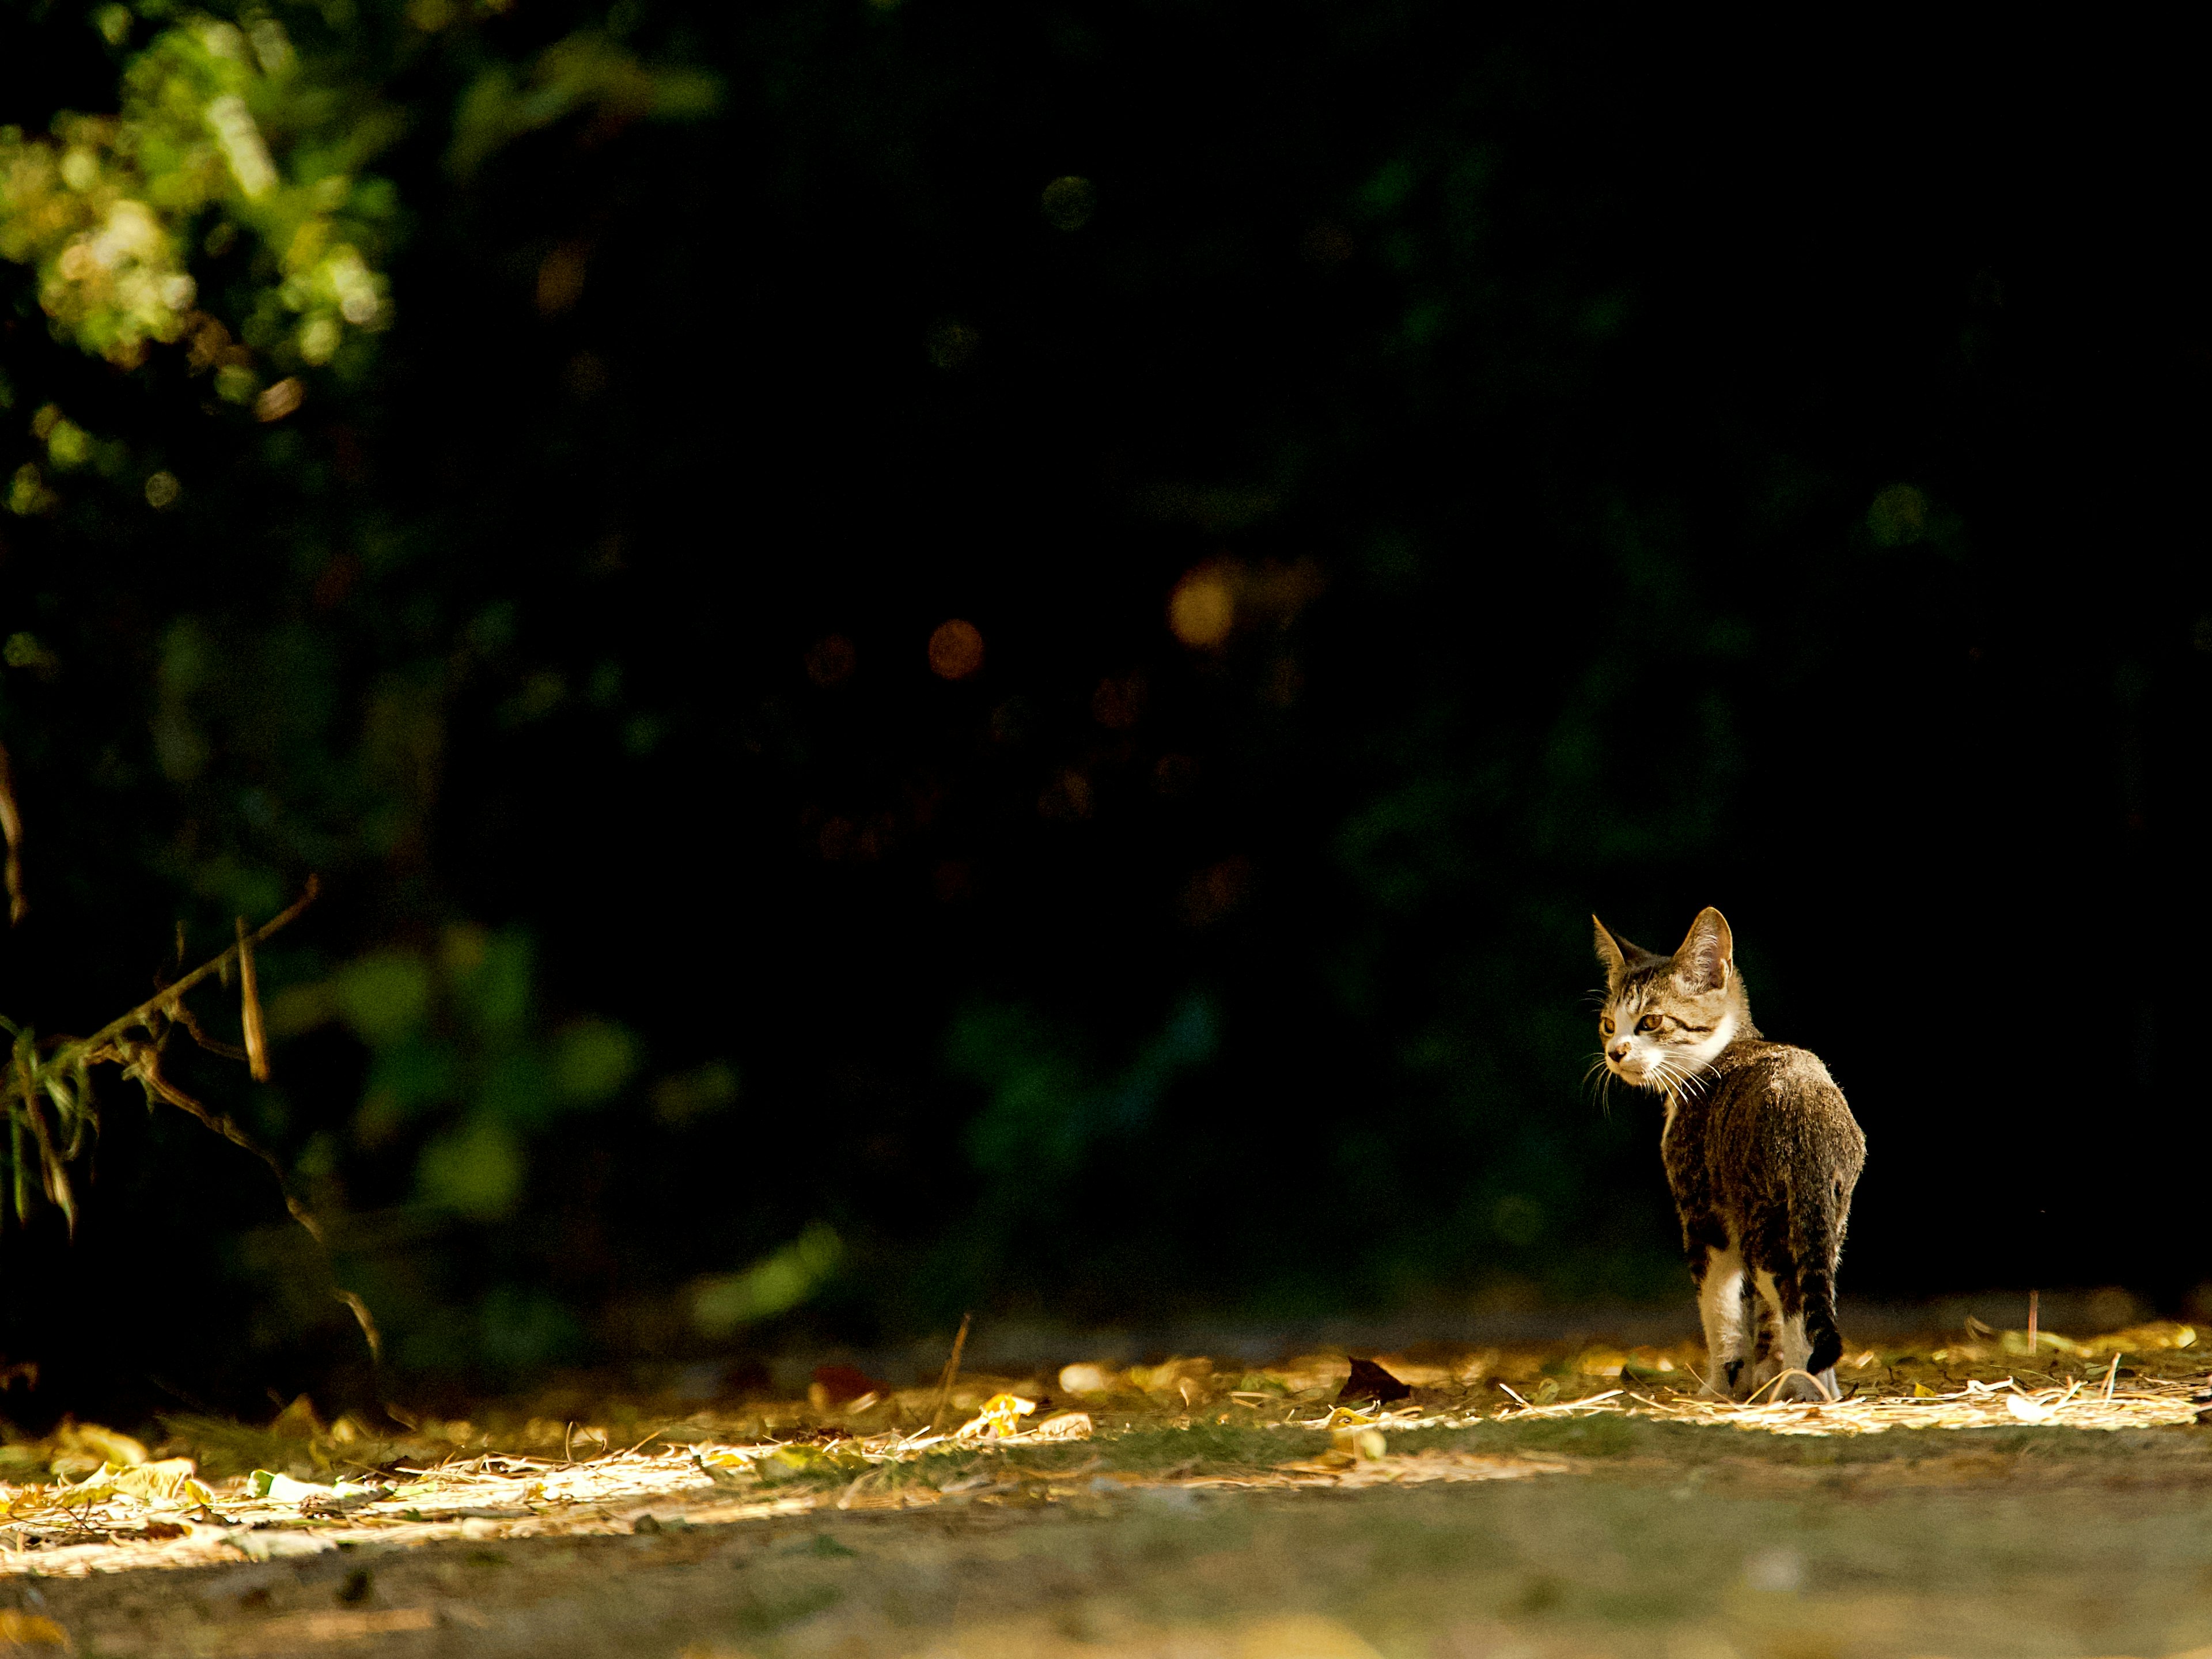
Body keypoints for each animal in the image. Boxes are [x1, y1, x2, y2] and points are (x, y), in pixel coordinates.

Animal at [1592, 911, 1866, 1407]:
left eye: (1651, 1021)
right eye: (1607, 1024)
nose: (1614, 1052)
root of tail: (1806, 1104)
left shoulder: (1704, 1215)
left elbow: (1719, 1308)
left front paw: (1720, 1389)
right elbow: (1762, 1322)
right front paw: (1763, 1380)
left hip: (1764, 1220)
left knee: (1793, 1298)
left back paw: (1806, 1391)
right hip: (1828, 1215)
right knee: (1815, 1293)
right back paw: (1822, 1388)